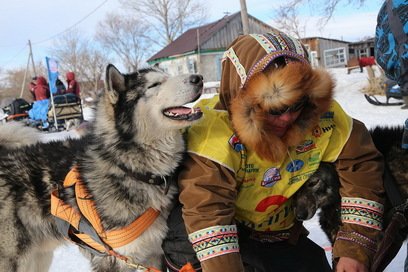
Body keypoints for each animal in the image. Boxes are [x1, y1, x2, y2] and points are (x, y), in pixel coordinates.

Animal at [0, 65, 202, 270]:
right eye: (154, 84)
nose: (198, 78)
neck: (127, 167)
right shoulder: (113, 259)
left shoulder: (154, 254)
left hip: (39, 258)